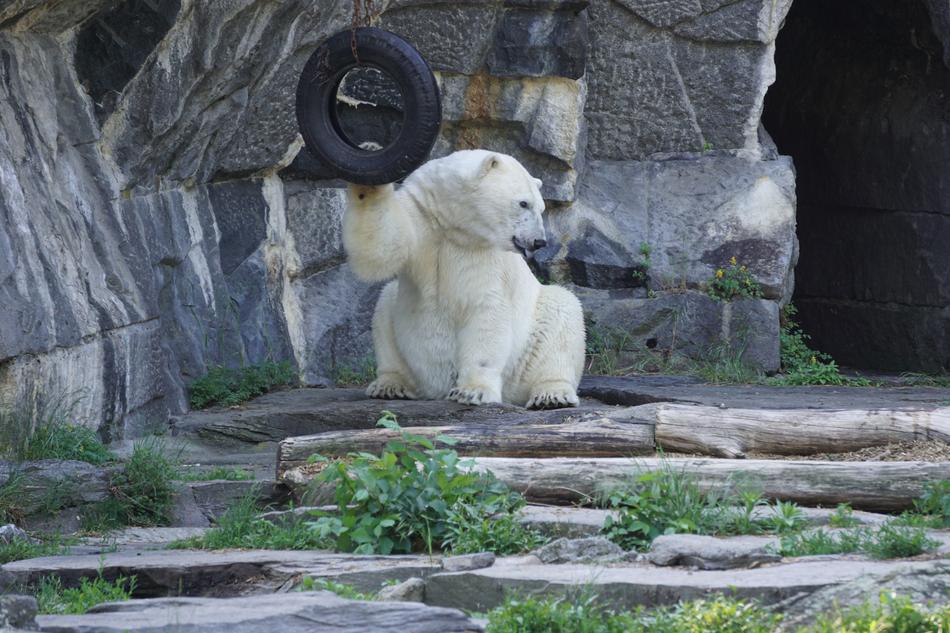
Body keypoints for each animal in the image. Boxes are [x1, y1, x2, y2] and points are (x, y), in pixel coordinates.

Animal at [342, 149, 585, 409]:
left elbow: (485, 309)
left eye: (541, 208)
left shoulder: (484, 255)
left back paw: (551, 395)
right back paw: (390, 385)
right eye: (523, 203)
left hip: (526, 352)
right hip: (401, 337)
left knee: (563, 315)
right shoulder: (421, 214)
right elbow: (384, 247)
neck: (453, 224)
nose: (539, 241)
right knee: (385, 309)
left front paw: (472, 391)